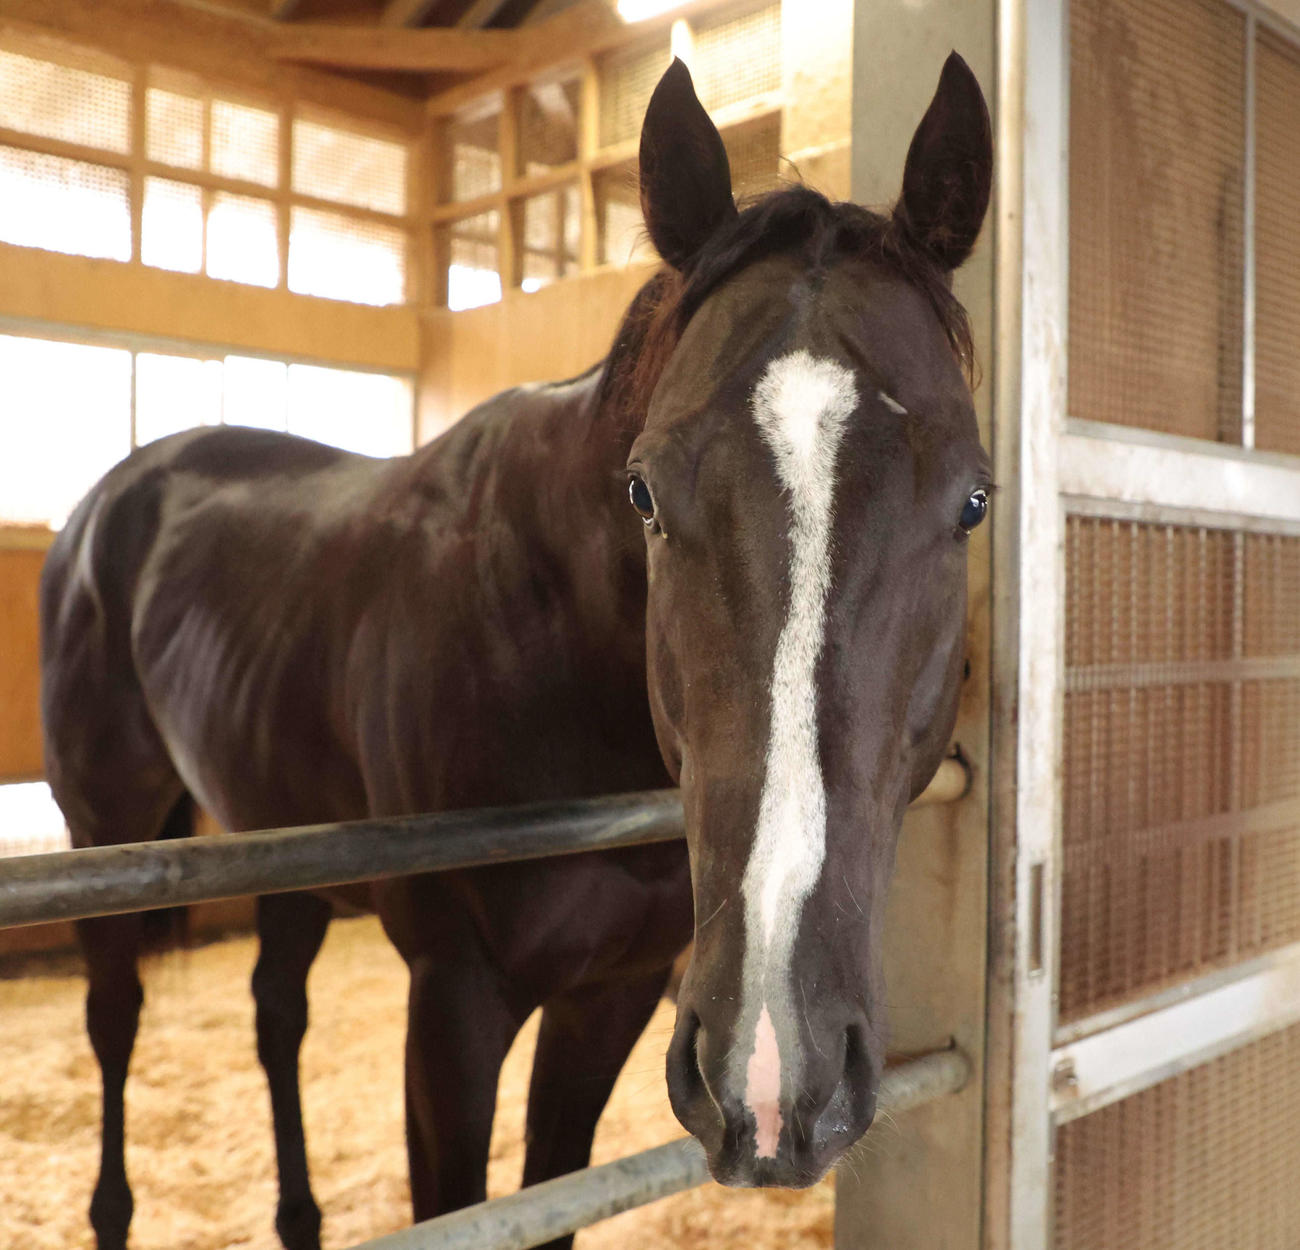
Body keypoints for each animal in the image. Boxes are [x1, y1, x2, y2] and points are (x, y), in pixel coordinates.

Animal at [38, 52, 991, 1249]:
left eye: (973, 500)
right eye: (643, 490)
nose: (778, 1075)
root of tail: (112, 497)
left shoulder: (612, 995)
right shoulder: (455, 1003)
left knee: (275, 1012)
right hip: (103, 829)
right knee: (115, 1017)